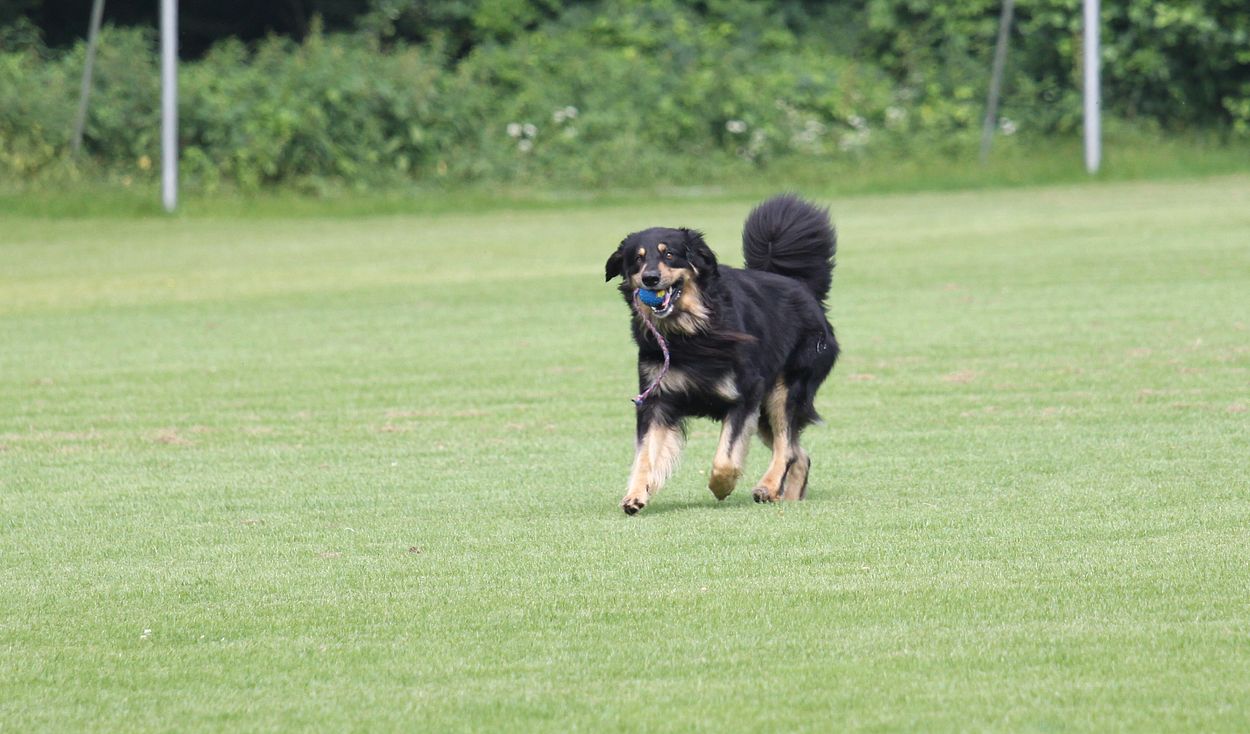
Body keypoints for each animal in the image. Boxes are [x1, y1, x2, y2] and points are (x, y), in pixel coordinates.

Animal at [604, 194, 839, 515]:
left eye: (669, 255)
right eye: (637, 259)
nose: (650, 278)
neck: (688, 334)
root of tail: (801, 287)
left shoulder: (745, 394)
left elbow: (725, 457)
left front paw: (722, 486)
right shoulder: (657, 401)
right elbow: (645, 455)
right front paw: (636, 494)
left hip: (783, 392)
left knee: (787, 447)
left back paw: (767, 486)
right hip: (764, 413)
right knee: (799, 454)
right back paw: (785, 496)